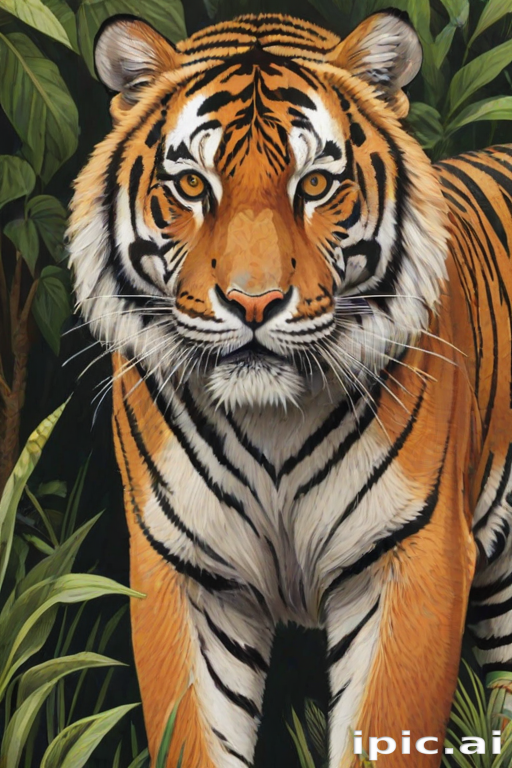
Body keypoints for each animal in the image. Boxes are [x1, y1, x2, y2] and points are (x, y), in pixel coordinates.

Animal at [67, 8, 512, 768]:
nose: (255, 303)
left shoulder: (412, 556)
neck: (271, 420)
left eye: (315, 186)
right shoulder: (183, 571)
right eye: (192, 187)